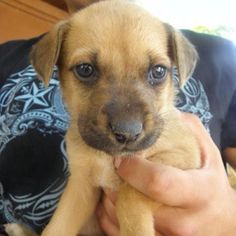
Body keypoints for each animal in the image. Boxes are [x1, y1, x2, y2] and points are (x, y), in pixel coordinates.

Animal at [5, 0, 199, 236]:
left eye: (159, 71)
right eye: (85, 69)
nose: (127, 133)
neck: (109, 157)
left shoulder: (183, 159)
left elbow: (130, 193)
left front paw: (135, 227)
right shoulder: (81, 186)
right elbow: (56, 228)